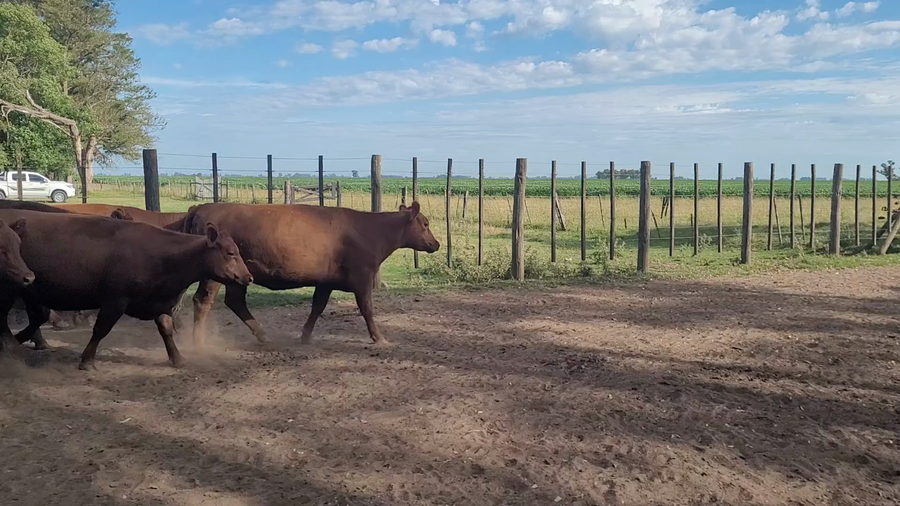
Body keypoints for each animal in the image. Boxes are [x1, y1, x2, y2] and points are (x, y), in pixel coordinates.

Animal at [0, 209, 253, 370]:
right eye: (231, 253)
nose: (248, 277)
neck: (162, 256)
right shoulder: (115, 300)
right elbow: (101, 330)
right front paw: (87, 361)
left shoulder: (159, 302)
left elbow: (166, 330)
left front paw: (177, 358)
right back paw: (13, 345)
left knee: (36, 317)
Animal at [181, 201, 439, 347]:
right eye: (425, 224)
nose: (436, 244)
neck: (371, 230)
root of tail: (201, 207)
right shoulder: (363, 276)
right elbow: (367, 308)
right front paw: (380, 338)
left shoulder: (326, 281)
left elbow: (318, 306)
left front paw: (305, 335)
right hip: (215, 275)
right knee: (203, 301)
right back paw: (199, 342)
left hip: (238, 277)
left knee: (235, 301)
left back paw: (263, 336)